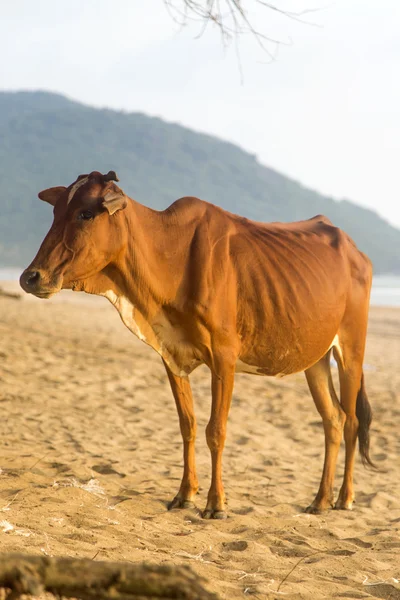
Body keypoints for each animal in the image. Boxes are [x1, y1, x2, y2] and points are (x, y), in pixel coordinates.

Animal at [20, 171, 374, 516]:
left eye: (86, 214)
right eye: (56, 212)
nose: (30, 277)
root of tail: (356, 251)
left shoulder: (224, 357)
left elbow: (215, 431)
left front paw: (216, 504)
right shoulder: (171, 356)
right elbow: (187, 425)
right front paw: (185, 495)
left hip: (352, 350)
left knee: (352, 421)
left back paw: (345, 498)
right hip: (316, 359)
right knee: (333, 419)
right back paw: (320, 500)